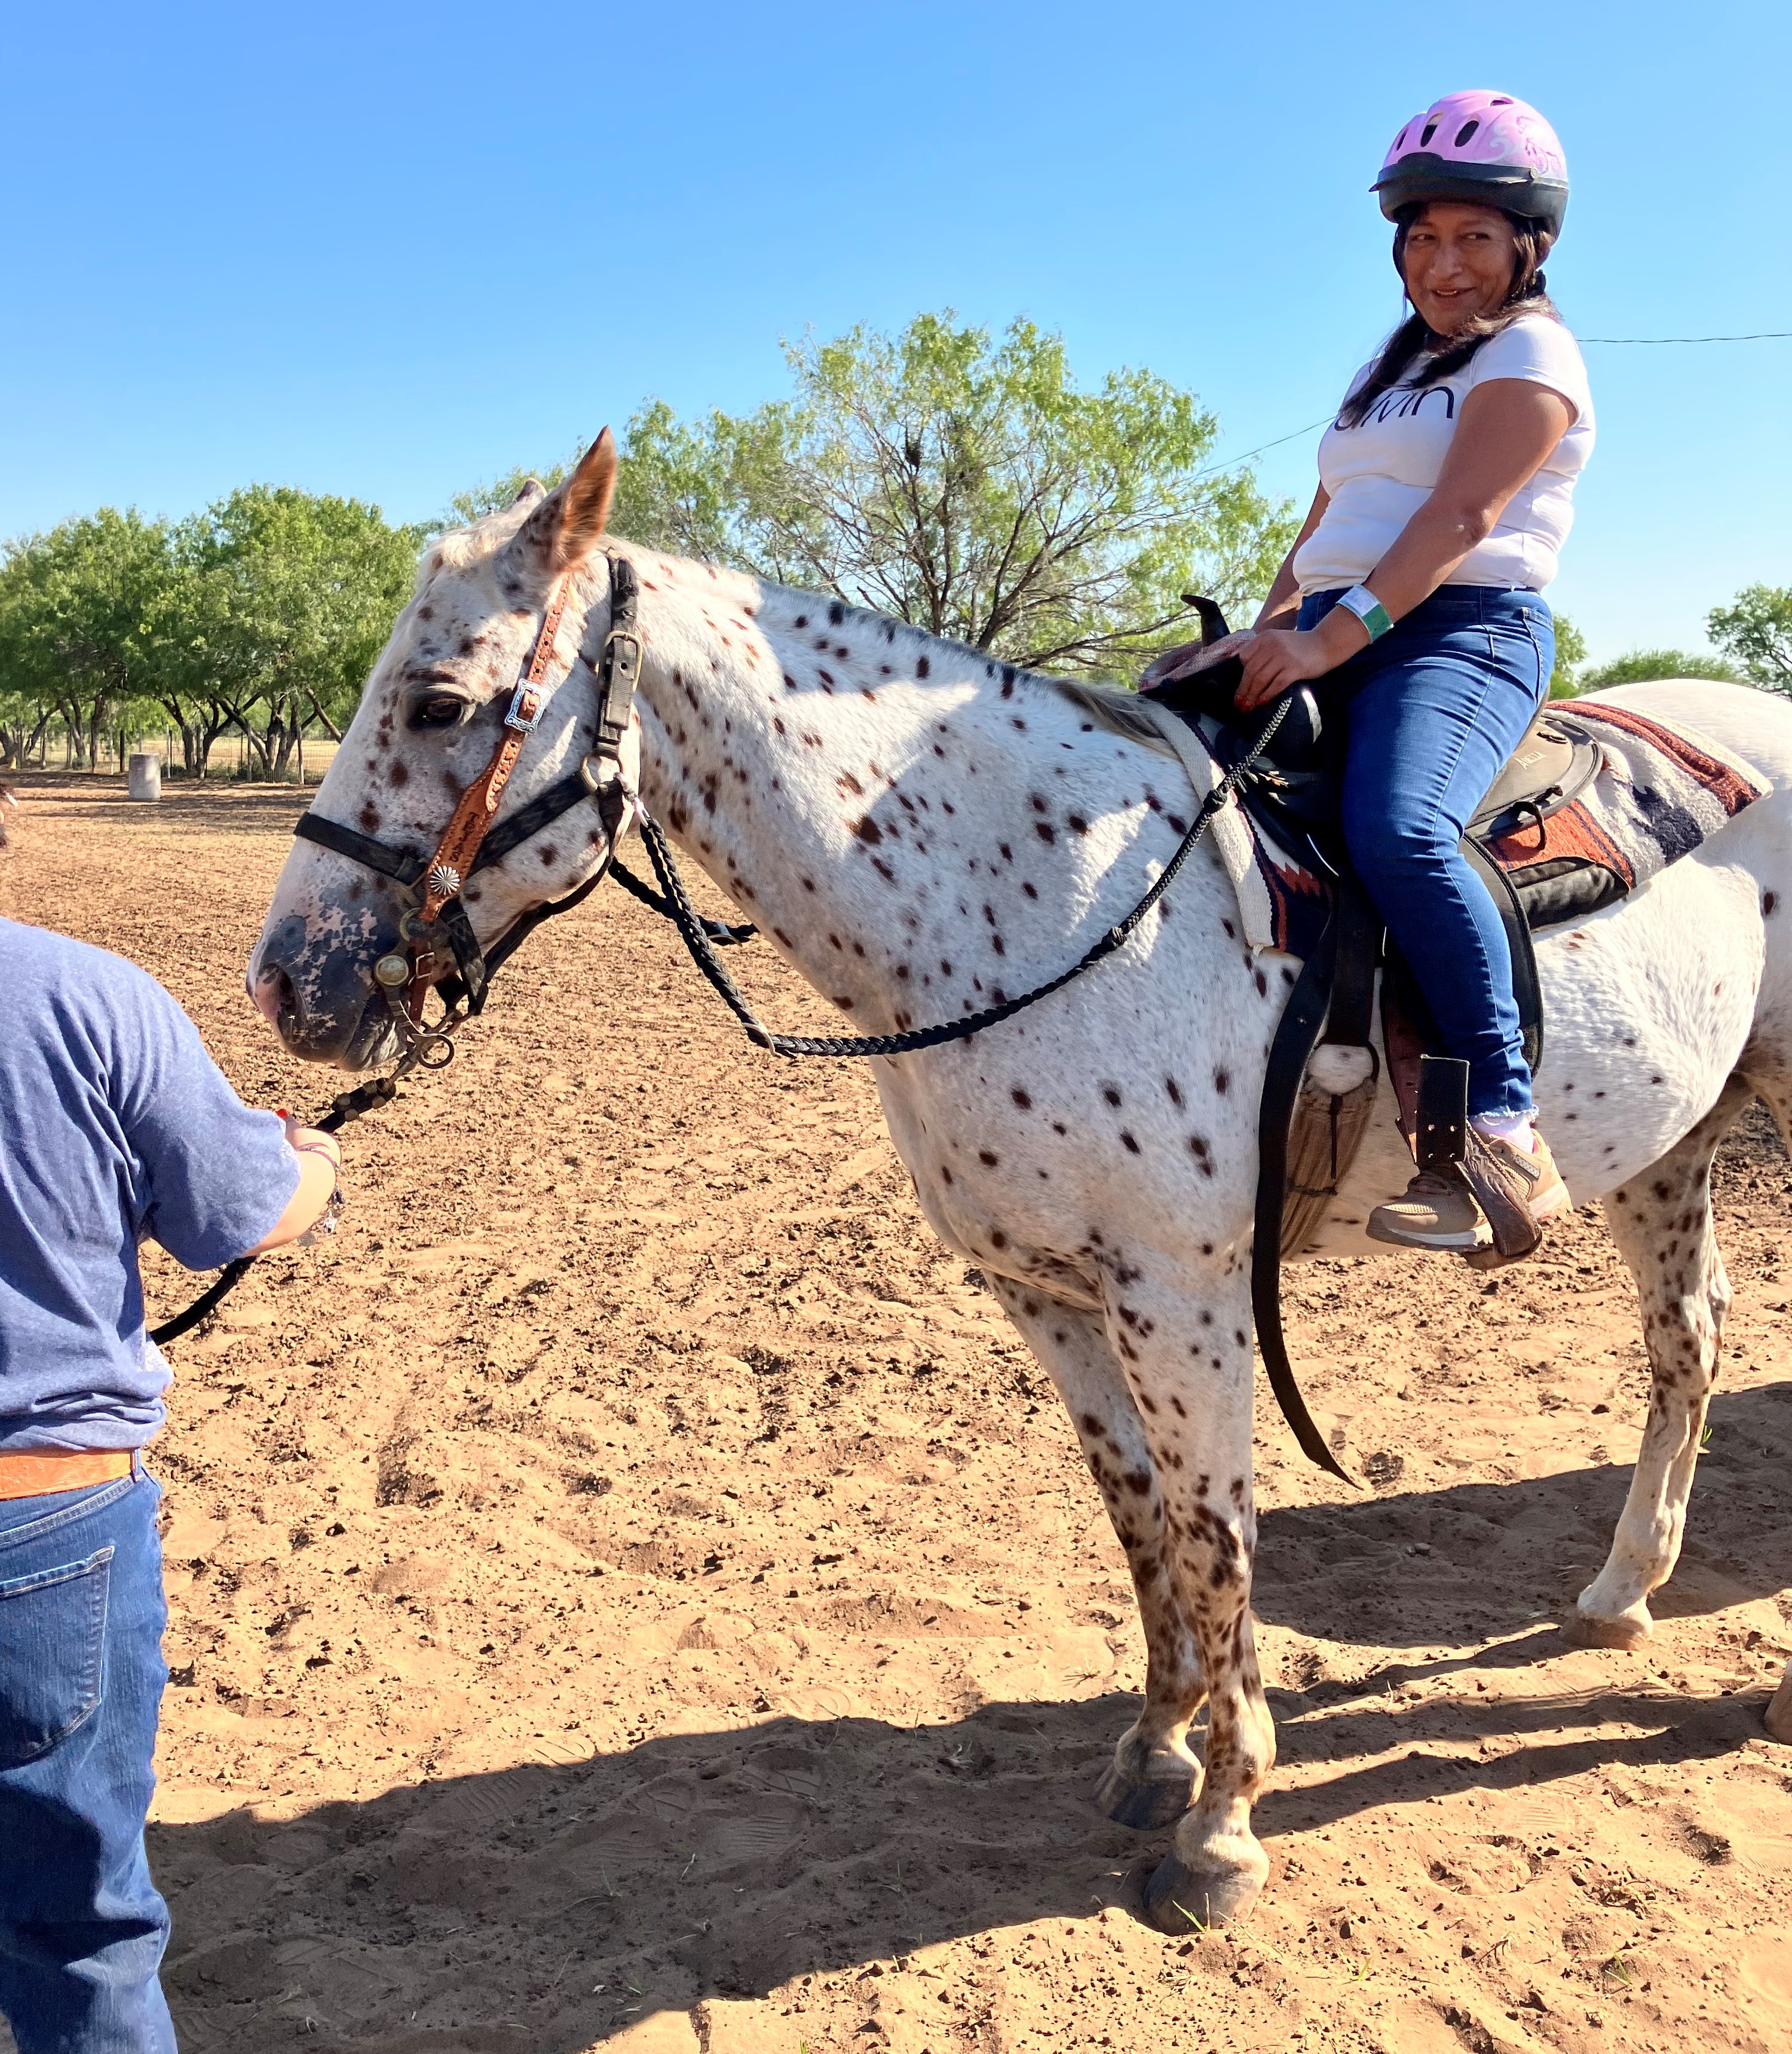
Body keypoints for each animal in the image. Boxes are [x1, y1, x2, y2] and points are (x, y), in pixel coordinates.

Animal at [249, 432, 1792, 1927]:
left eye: (439, 702)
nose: (288, 983)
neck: (1045, 903)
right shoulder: (1041, 1292)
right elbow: (1136, 1513)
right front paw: (1153, 1749)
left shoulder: (1185, 1298)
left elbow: (1217, 1537)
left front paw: (1222, 1830)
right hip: (1673, 1147)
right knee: (1686, 1340)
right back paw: (1618, 1591)